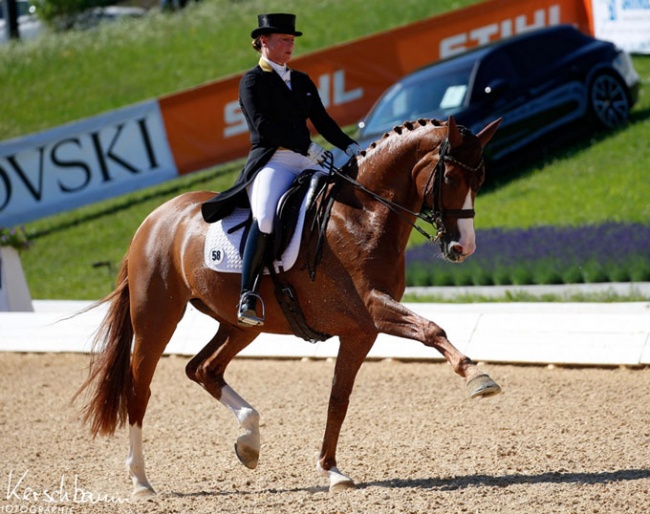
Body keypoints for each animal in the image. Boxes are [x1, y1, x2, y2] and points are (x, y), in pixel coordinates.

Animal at [76, 115, 502, 492]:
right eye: (450, 178)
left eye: (479, 180)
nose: (463, 248)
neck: (362, 216)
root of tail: (151, 220)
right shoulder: (373, 310)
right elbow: (432, 329)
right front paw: (478, 377)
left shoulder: (360, 331)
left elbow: (338, 399)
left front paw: (332, 471)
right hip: (157, 319)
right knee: (139, 389)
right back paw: (141, 481)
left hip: (240, 324)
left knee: (203, 369)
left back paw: (248, 441)